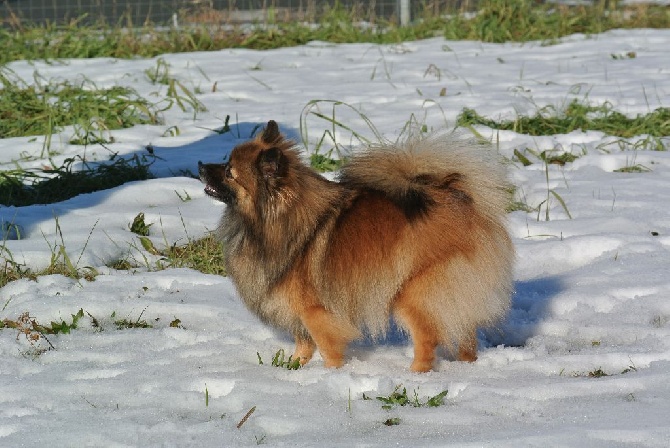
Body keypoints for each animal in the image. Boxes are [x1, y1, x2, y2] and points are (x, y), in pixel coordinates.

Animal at [198, 121, 516, 372]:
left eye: (229, 172)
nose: (200, 165)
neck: (275, 219)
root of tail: (461, 200)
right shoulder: (299, 312)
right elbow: (303, 343)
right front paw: (293, 367)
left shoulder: (316, 311)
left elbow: (327, 347)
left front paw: (331, 373)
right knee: (465, 334)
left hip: (412, 294)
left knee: (428, 338)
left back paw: (415, 375)